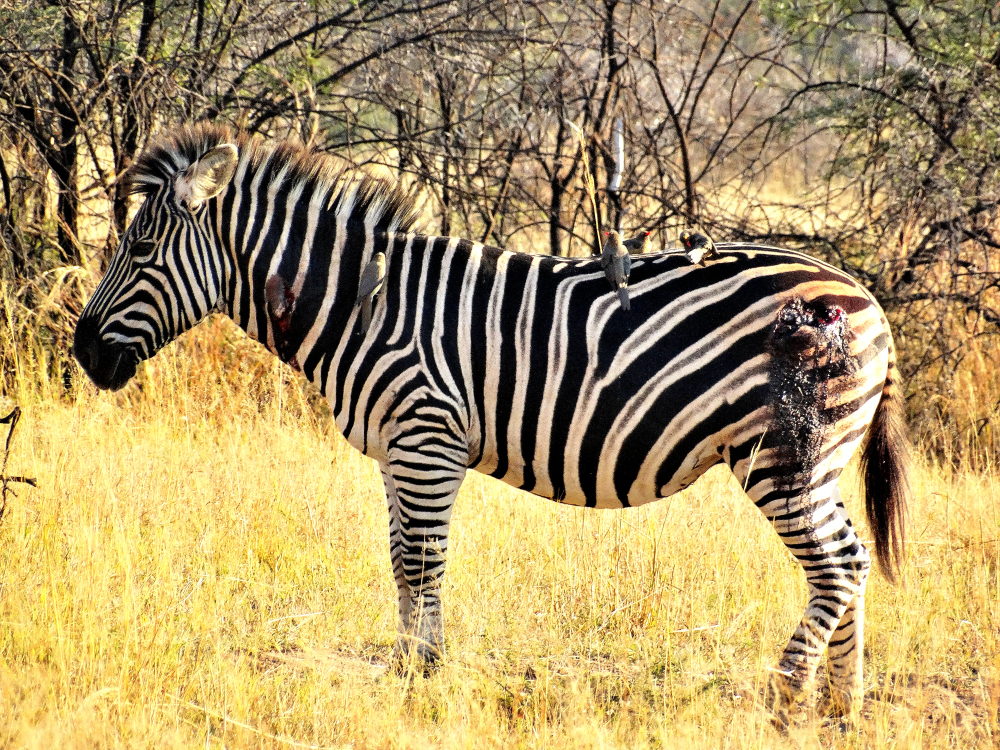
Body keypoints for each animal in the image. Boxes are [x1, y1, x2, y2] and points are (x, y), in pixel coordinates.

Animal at [74, 125, 912, 728]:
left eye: (140, 247)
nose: (83, 353)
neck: (362, 305)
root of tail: (862, 294)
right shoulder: (395, 450)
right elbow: (399, 560)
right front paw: (410, 672)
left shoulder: (427, 438)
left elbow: (422, 561)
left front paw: (425, 680)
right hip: (818, 454)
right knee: (851, 559)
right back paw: (841, 706)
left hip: (782, 452)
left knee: (838, 562)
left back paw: (786, 698)